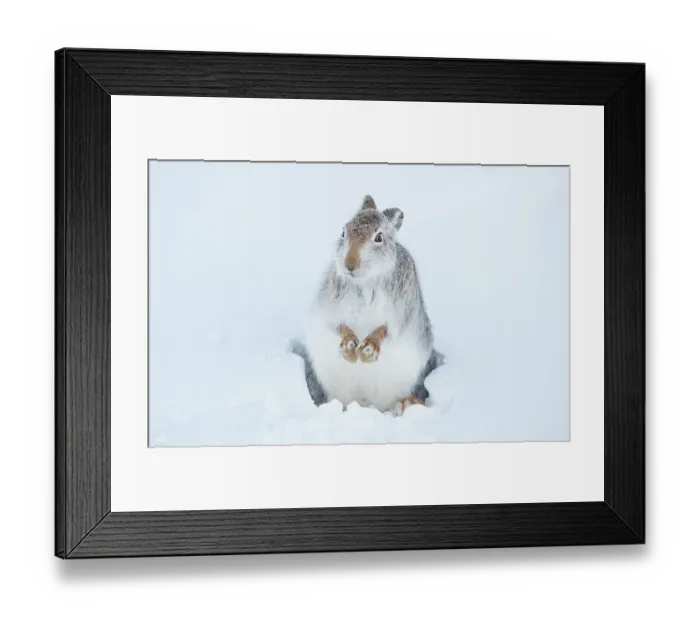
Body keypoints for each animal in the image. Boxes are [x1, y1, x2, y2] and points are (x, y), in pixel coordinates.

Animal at [292, 194, 443, 417]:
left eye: (379, 237)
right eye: (343, 231)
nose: (350, 264)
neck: (365, 281)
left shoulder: (400, 313)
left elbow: (384, 329)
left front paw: (368, 350)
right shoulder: (330, 310)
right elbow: (340, 326)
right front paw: (349, 347)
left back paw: (405, 404)